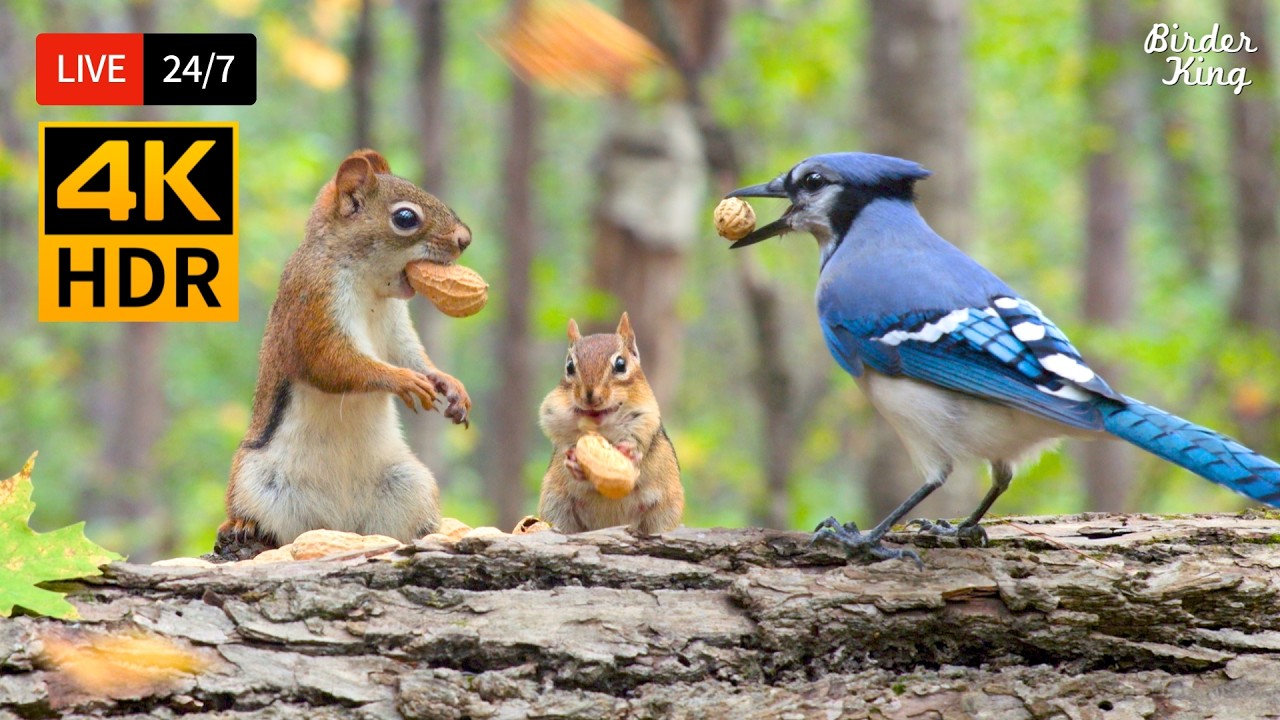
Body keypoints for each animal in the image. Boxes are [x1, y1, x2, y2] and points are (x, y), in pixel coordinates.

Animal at [214, 149, 472, 558]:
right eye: (405, 218)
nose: (465, 238)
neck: (371, 285)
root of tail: (338, 521)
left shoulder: (396, 328)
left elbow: (411, 354)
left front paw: (449, 385)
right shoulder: (313, 306)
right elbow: (334, 364)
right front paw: (403, 381)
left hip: (408, 484)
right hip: (256, 479)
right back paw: (242, 524)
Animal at [537, 313, 683, 534]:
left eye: (621, 364)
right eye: (569, 366)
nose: (590, 396)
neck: (602, 431)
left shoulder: (647, 422)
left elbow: (639, 446)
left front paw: (629, 452)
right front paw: (573, 461)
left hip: (665, 510)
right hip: (555, 505)